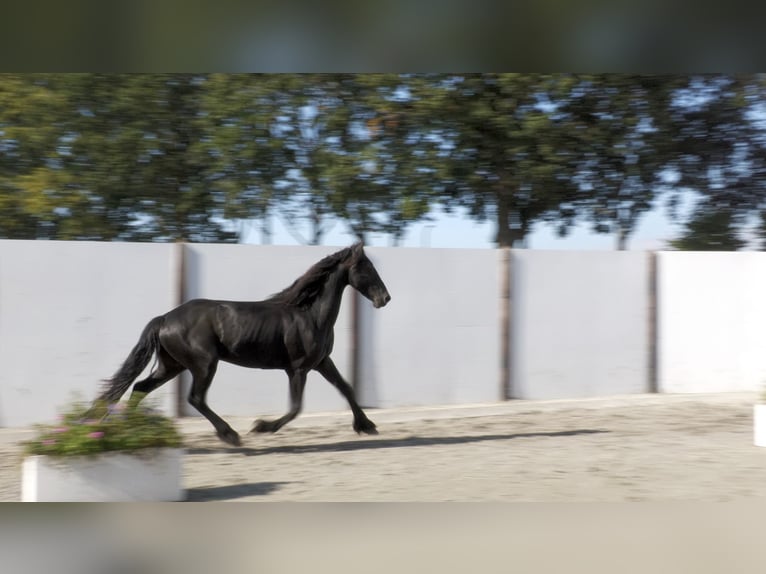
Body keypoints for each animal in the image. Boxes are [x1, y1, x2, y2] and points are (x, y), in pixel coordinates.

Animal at [95, 242, 391, 447]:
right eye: (366, 268)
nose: (385, 298)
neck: (310, 315)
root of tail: (165, 318)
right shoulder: (298, 369)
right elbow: (295, 408)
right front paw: (261, 426)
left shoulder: (320, 362)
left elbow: (346, 388)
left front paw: (366, 425)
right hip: (204, 365)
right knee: (195, 398)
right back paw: (231, 435)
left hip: (172, 365)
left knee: (140, 387)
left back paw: (131, 429)